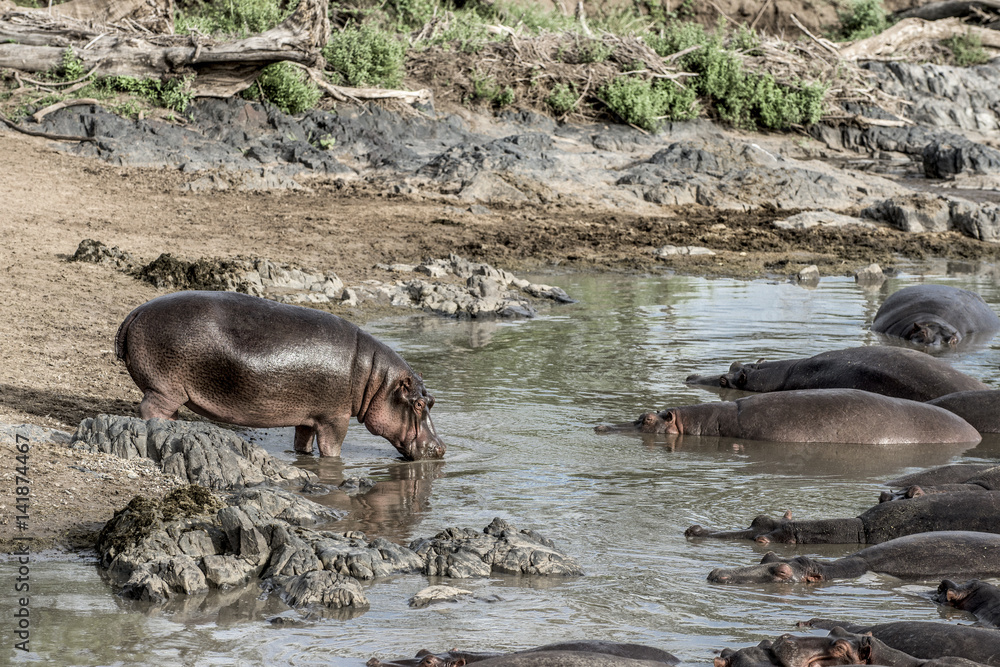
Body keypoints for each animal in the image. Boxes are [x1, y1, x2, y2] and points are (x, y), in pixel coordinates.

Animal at [115, 291, 444, 460]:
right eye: (418, 404)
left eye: (432, 402)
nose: (440, 448)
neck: (376, 380)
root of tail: (135, 312)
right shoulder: (334, 418)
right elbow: (332, 450)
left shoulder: (310, 417)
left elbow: (303, 443)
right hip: (164, 388)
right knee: (150, 409)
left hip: (170, 391)